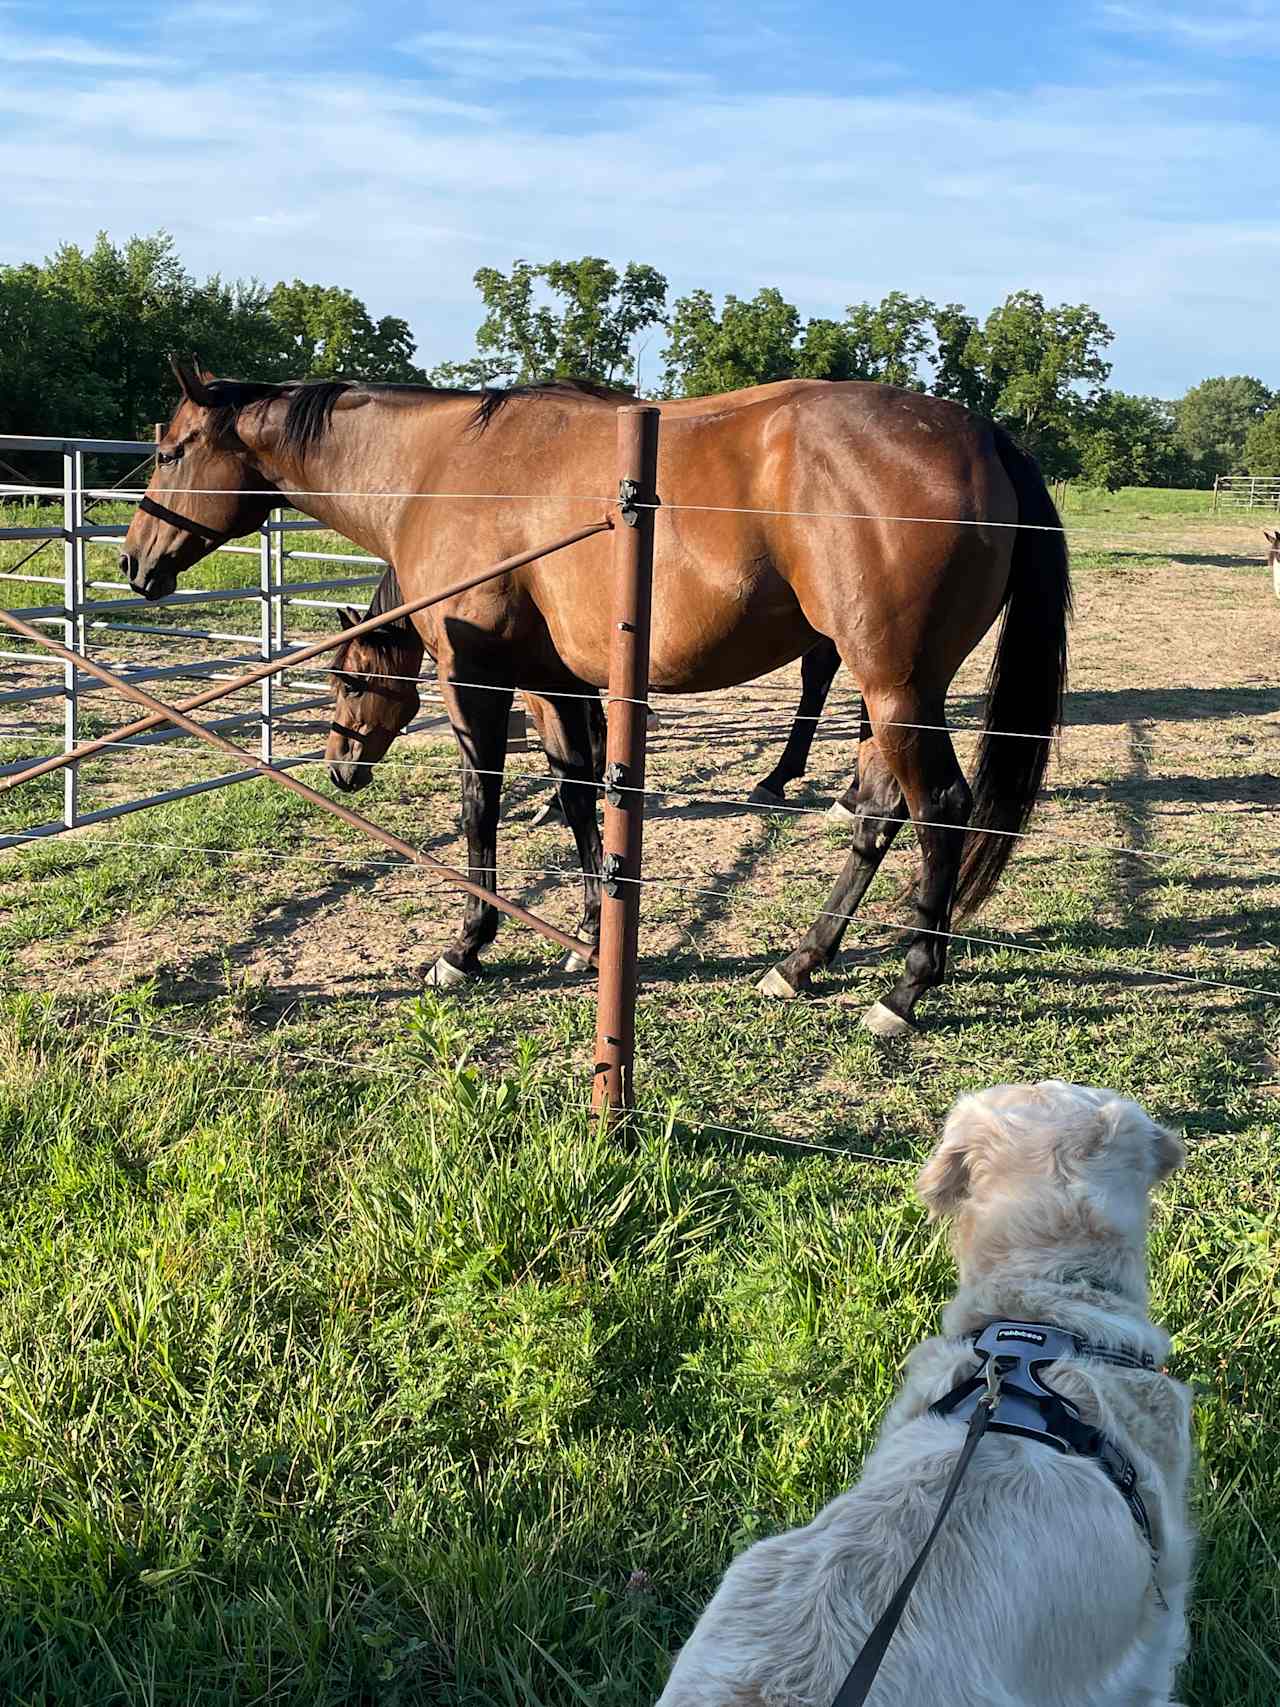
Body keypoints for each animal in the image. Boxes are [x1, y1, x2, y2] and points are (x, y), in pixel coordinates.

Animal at [125, 353, 1078, 1031]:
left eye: (171, 451)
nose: (135, 562)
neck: (442, 463)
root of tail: (984, 435)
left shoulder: (478, 679)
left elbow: (481, 805)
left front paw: (465, 947)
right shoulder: (554, 683)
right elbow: (580, 797)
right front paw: (589, 937)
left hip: (895, 687)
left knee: (940, 810)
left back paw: (905, 991)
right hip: (895, 695)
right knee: (879, 814)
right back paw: (802, 962)